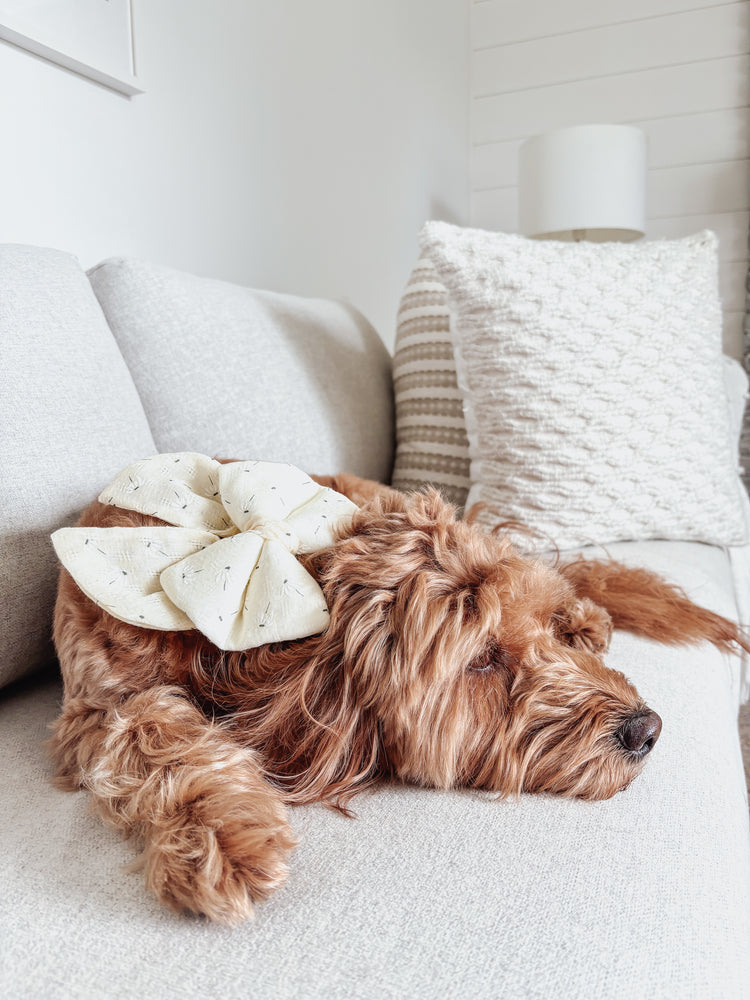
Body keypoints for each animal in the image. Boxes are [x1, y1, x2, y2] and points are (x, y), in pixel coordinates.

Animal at [50, 468, 748, 920]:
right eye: (484, 661)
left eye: (541, 628)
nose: (647, 729)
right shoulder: (95, 710)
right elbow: (153, 734)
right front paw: (224, 838)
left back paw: (589, 615)